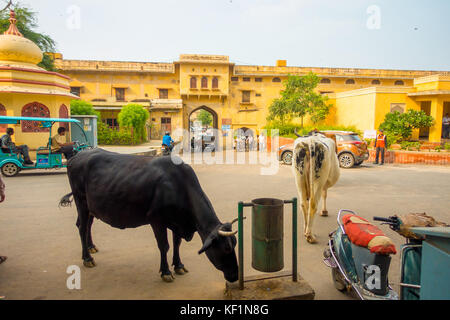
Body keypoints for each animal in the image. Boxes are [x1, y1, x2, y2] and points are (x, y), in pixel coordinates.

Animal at [61, 149, 241, 282]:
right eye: (226, 248)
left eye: (235, 243)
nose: (235, 275)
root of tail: (77, 156)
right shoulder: (157, 220)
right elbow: (164, 246)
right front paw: (166, 272)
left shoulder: (178, 221)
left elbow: (177, 244)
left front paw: (178, 265)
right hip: (81, 201)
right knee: (82, 227)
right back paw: (87, 258)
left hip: (92, 206)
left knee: (87, 225)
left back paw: (91, 247)